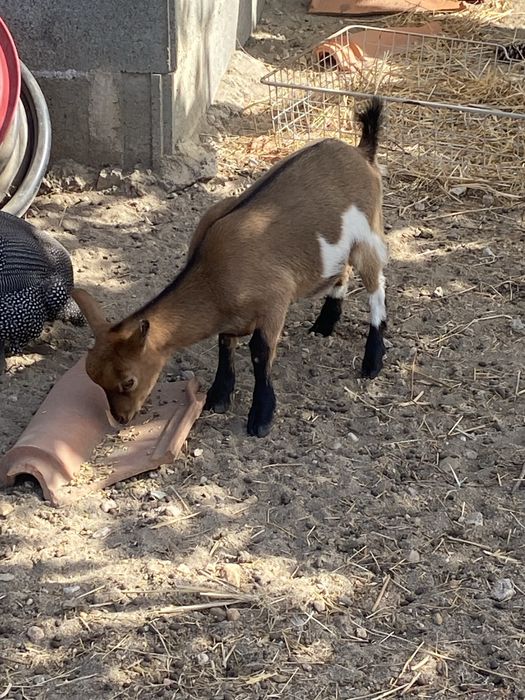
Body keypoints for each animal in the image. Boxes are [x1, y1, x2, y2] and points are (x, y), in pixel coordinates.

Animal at [72, 97, 388, 438]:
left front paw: (260, 417)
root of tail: (361, 152)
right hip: (337, 248)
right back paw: (324, 325)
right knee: (341, 273)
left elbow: (260, 352)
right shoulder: (231, 315)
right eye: (96, 380)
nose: (121, 418)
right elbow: (225, 343)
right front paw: (219, 397)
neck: (213, 274)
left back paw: (372, 360)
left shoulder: (274, 301)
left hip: (368, 233)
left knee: (376, 285)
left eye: (128, 381)